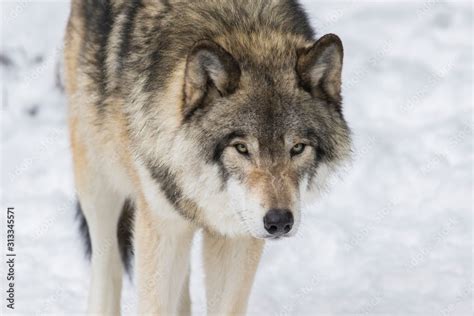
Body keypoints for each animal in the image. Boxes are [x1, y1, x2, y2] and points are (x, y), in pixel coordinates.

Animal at [64, 0, 352, 314]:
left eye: (298, 148)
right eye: (241, 148)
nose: (278, 222)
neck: (244, 29)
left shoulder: (238, 236)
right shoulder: (162, 225)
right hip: (98, 179)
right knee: (107, 263)